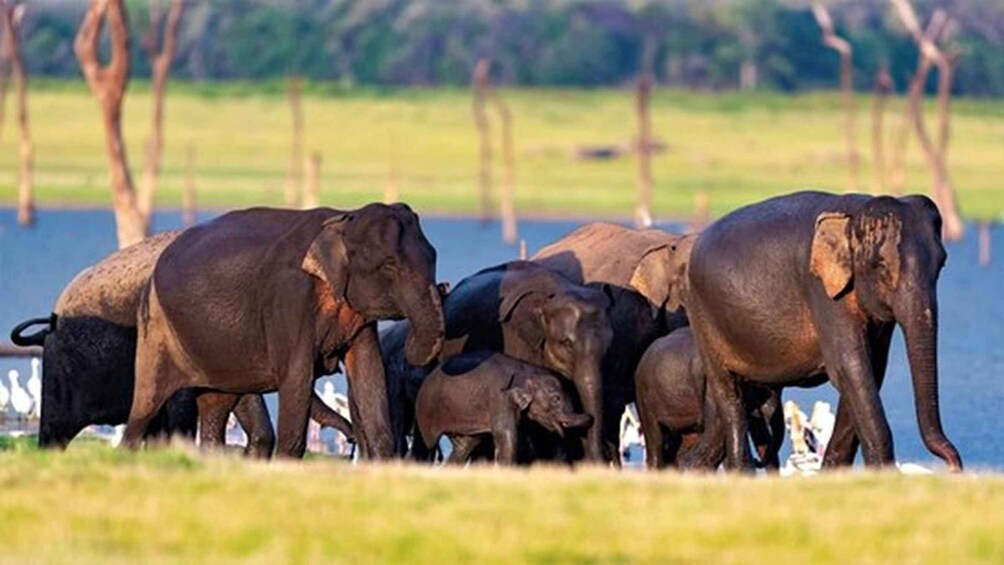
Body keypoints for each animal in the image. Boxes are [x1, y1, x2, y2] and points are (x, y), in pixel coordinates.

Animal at [123, 203, 445, 459]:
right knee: (145, 407)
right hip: (157, 328)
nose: (352, 439)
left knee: (216, 404)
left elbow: (369, 373)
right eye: (389, 266)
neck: (344, 218)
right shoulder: (288, 300)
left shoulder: (359, 318)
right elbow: (297, 377)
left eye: (434, 256)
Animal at [414, 351, 593, 465]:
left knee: (465, 446)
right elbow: (507, 435)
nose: (591, 417)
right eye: (556, 399)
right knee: (429, 445)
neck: (526, 371)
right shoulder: (500, 397)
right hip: (425, 409)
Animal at [678, 191, 962, 471]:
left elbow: (870, 369)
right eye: (880, 266)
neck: (854, 214)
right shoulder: (822, 292)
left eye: (942, 264)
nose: (953, 466)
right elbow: (849, 367)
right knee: (729, 394)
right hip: (702, 317)